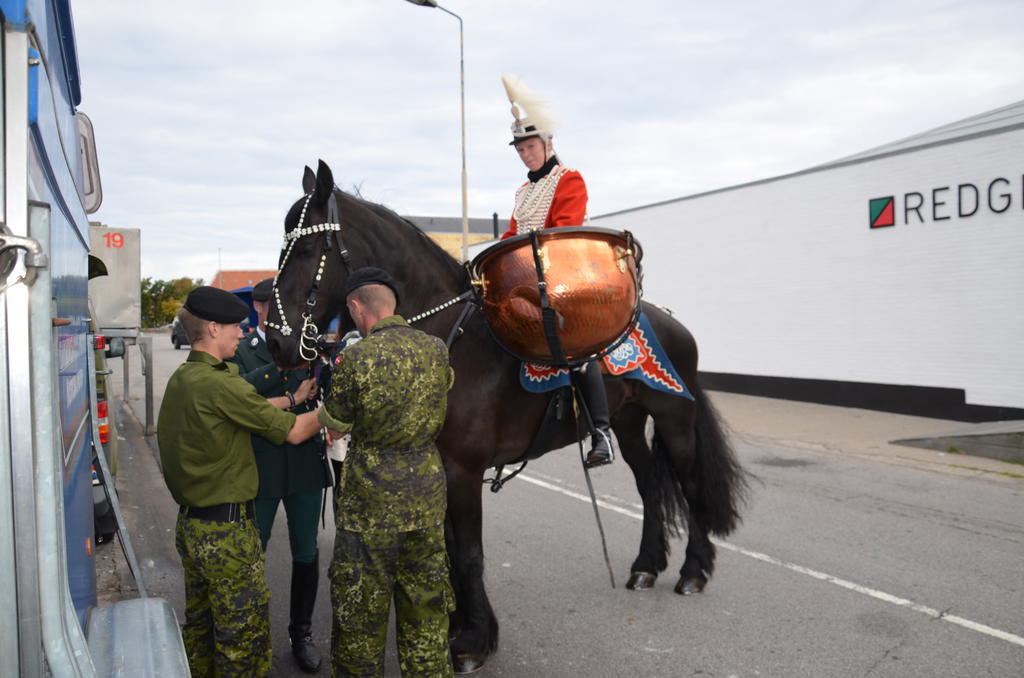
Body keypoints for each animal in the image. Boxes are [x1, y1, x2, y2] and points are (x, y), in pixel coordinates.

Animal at [264, 160, 745, 675]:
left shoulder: (463, 470)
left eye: (305, 248)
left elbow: (469, 552)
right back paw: (645, 566)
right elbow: (451, 548)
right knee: (650, 485)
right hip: (629, 424)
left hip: (675, 419)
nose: (275, 342)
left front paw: (473, 639)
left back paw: (693, 571)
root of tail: (673, 321)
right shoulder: (439, 465)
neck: (449, 339)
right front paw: (460, 624)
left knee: (690, 485)